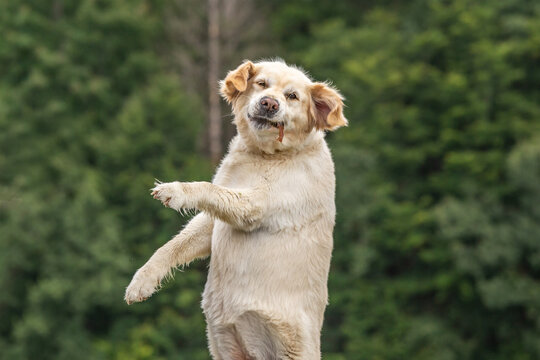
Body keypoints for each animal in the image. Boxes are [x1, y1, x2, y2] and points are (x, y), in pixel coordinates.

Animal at [124, 60, 346, 358]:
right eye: (262, 84)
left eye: (292, 96)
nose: (268, 104)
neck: (263, 154)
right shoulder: (213, 223)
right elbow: (174, 246)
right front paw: (142, 281)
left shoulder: (257, 205)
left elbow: (209, 189)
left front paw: (176, 190)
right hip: (225, 343)